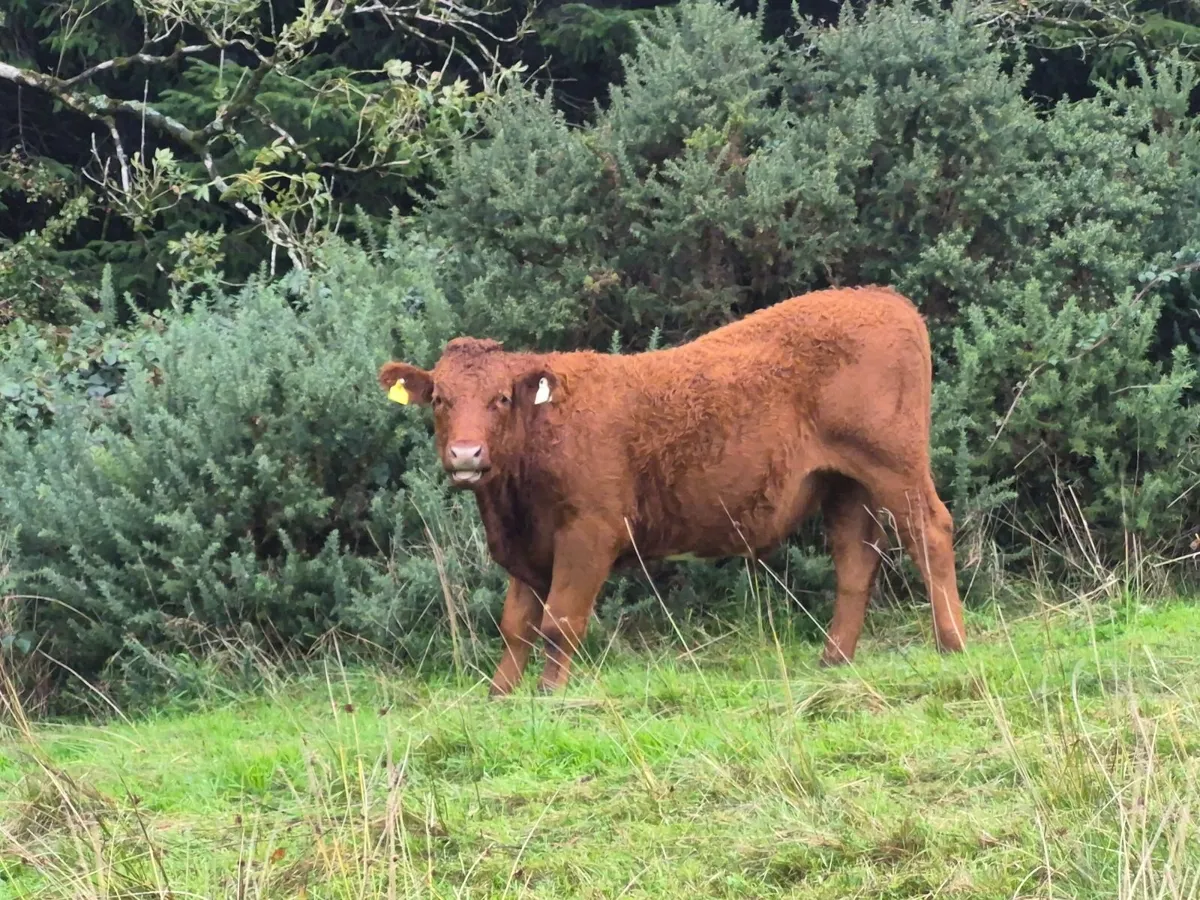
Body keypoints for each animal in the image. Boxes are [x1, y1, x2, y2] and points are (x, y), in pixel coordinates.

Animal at [378, 286, 966, 695]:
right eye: (440, 400)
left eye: (500, 398)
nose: (466, 455)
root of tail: (881, 297)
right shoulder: (530, 547)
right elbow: (515, 625)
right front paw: (500, 693)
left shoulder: (588, 534)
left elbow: (559, 622)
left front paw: (548, 693)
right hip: (844, 485)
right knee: (855, 562)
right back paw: (834, 658)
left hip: (895, 467)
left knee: (930, 533)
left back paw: (952, 642)